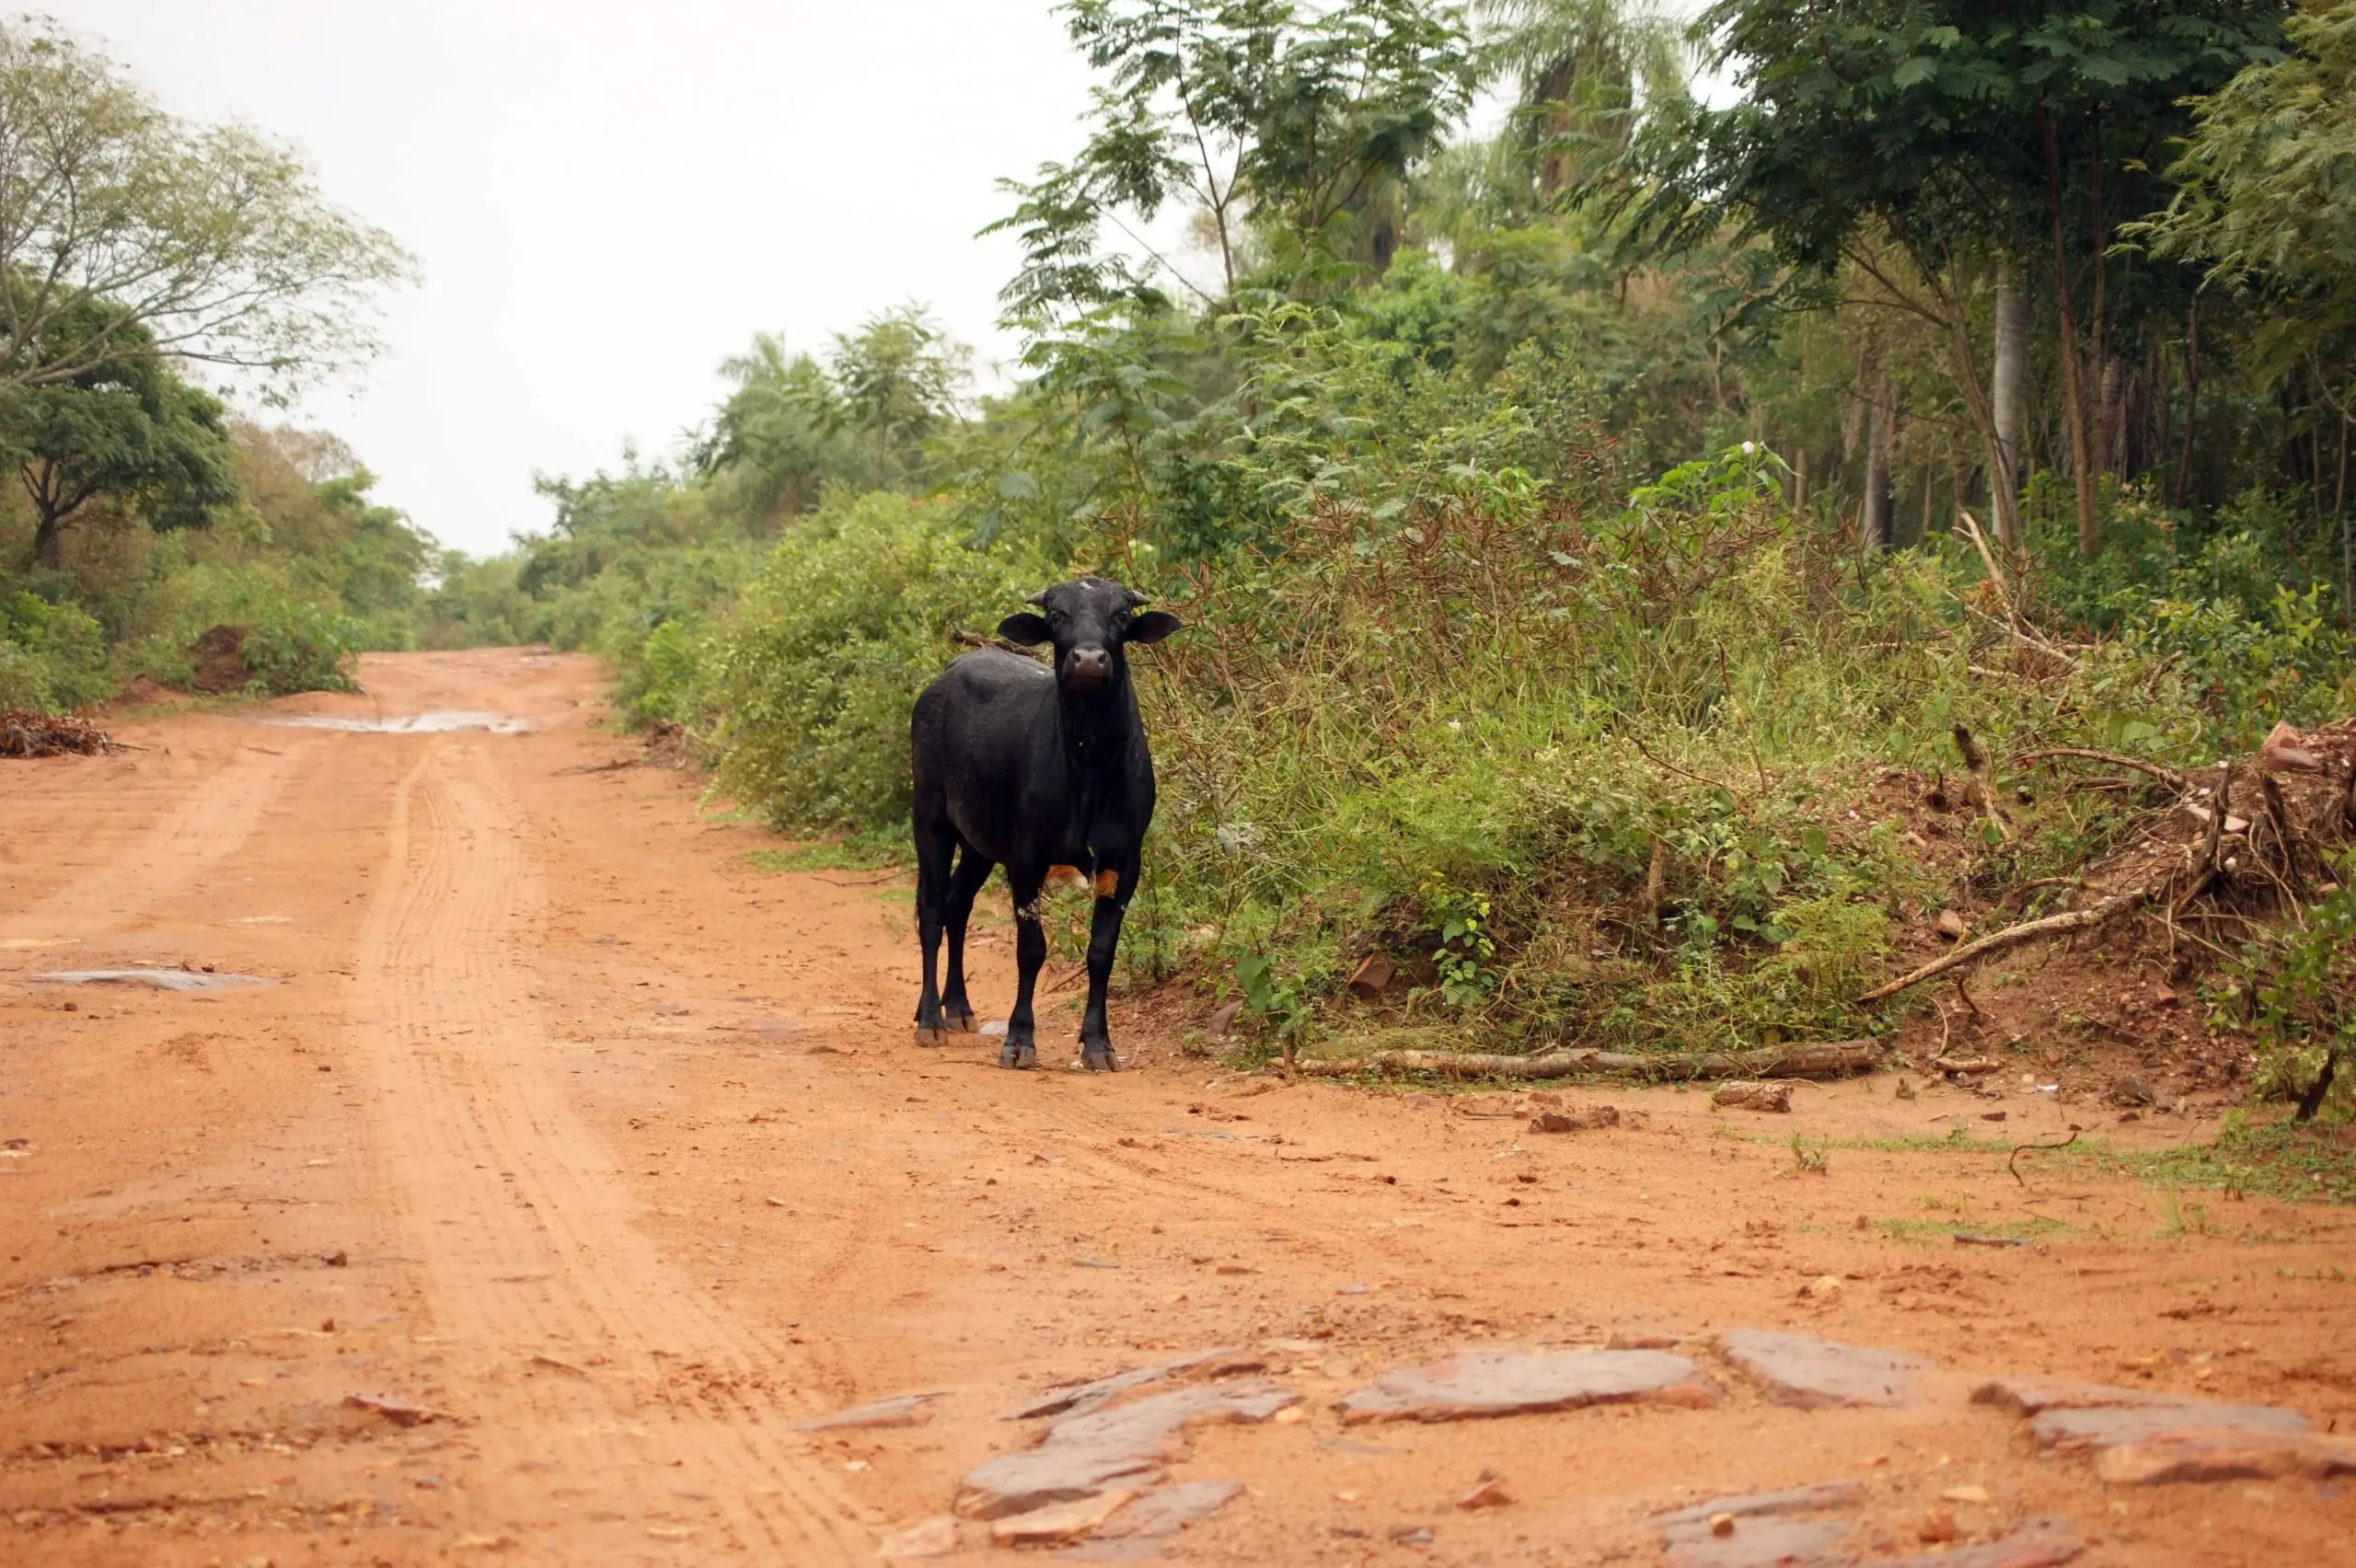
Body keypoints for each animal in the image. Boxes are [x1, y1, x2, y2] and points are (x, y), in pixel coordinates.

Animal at [908, 576, 1181, 1070]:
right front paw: (1019, 1039)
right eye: (1057, 616)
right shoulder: (1027, 859)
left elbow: (1101, 952)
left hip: (978, 844)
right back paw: (930, 1019)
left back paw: (957, 1008)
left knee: (958, 904)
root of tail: (944, 678)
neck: (1089, 763)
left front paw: (1098, 1045)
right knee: (932, 910)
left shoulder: (1124, 860)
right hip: (930, 818)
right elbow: (1031, 949)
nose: (1089, 659)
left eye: (1120, 616)